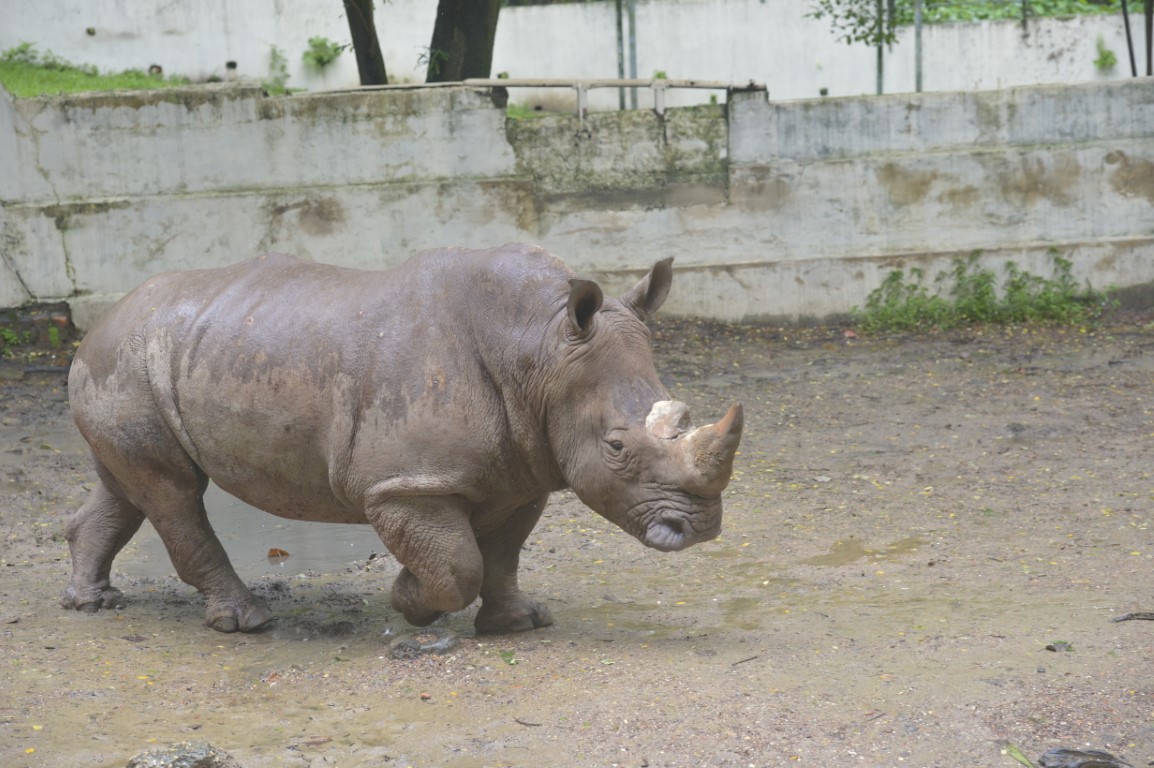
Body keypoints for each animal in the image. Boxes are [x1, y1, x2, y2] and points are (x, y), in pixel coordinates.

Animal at [62, 244, 743, 635]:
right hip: (131, 358)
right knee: (173, 489)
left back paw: (92, 603)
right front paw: (409, 603)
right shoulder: (404, 485)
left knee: (127, 484)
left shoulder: (525, 469)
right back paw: (245, 623)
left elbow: (503, 555)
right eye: (616, 448)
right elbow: (458, 563)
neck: (541, 347)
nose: (699, 528)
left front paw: (518, 624)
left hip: (142, 359)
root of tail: (98, 322)